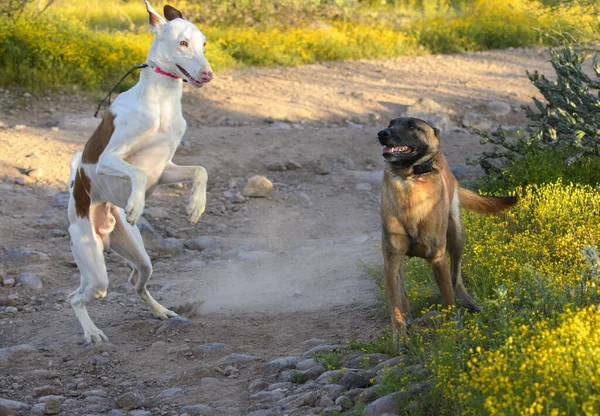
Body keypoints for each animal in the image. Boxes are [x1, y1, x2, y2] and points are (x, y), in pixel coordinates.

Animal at [67, 1, 213, 342]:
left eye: (203, 44)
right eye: (182, 43)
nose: (208, 74)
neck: (161, 101)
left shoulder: (167, 169)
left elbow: (200, 170)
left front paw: (195, 206)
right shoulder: (106, 159)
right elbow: (138, 173)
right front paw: (135, 204)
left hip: (139, 254)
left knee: (137, 281)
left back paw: (161, 311)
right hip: (93, 267)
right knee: (76, 297)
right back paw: (92, 332)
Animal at [380, 116, 516, 342]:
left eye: (412, 126)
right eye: (391, 123)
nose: (382, 133)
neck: (409, 180)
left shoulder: (438, 258)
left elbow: (448, 299)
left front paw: (452, 329)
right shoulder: (390, 260)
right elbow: (395, 303)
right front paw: (400, 336)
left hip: (457, 236)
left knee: (456, 278)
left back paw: (469, 302)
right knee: (403, 288)